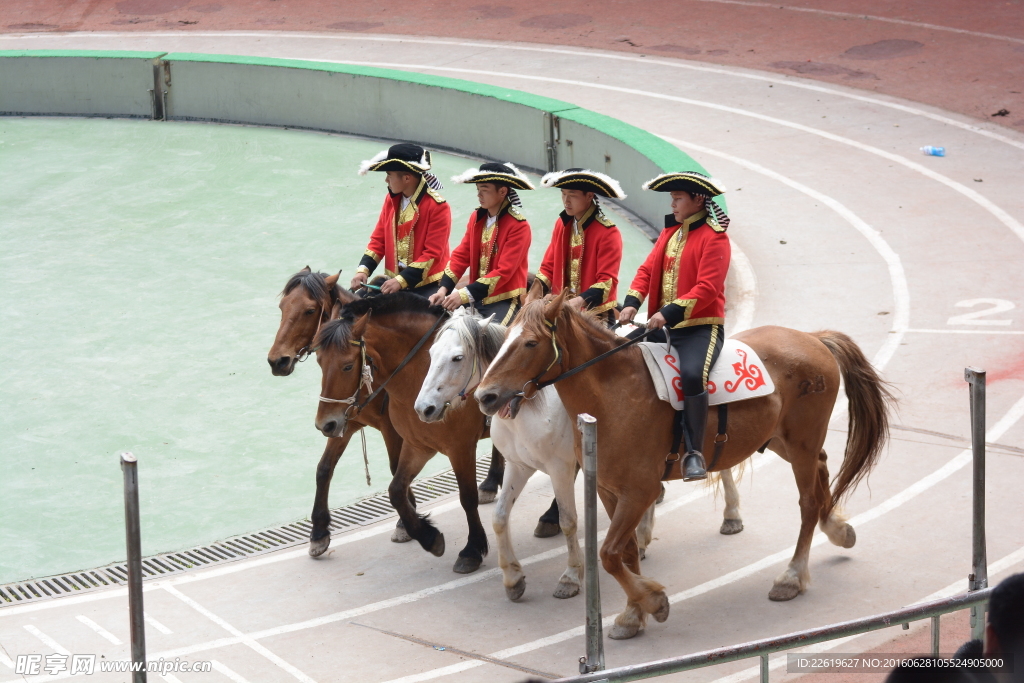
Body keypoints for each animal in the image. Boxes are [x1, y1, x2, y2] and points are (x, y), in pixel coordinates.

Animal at [272, 266, 415, 557]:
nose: (276, 361)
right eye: (282, 306)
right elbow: (324, 468)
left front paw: (407, 520)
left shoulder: (393, 428)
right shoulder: (341, 420)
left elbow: (398, 468)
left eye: (309, 310)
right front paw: (318, 532)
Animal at [315, 292, 491, 573]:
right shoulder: (416, 443)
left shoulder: (460, 447)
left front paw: (472, 549)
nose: (325, 424)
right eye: (319, 361)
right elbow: (395, 489)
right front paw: (428, 536)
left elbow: (467, 497)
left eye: (347, 366)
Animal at [475, 290, 892, 643]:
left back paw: (791, 576)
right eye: (506, 336)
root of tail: (813, 338)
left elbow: (609, 553)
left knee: (807, 503)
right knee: (822, 469)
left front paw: (653, 602)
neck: (614, 394)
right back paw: (838, 528)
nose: (485, 396)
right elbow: (624, 552)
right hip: (781, 441)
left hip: (800, 444)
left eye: (530, 343)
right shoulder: (609, 490)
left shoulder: (639, 491)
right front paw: (633, 614)